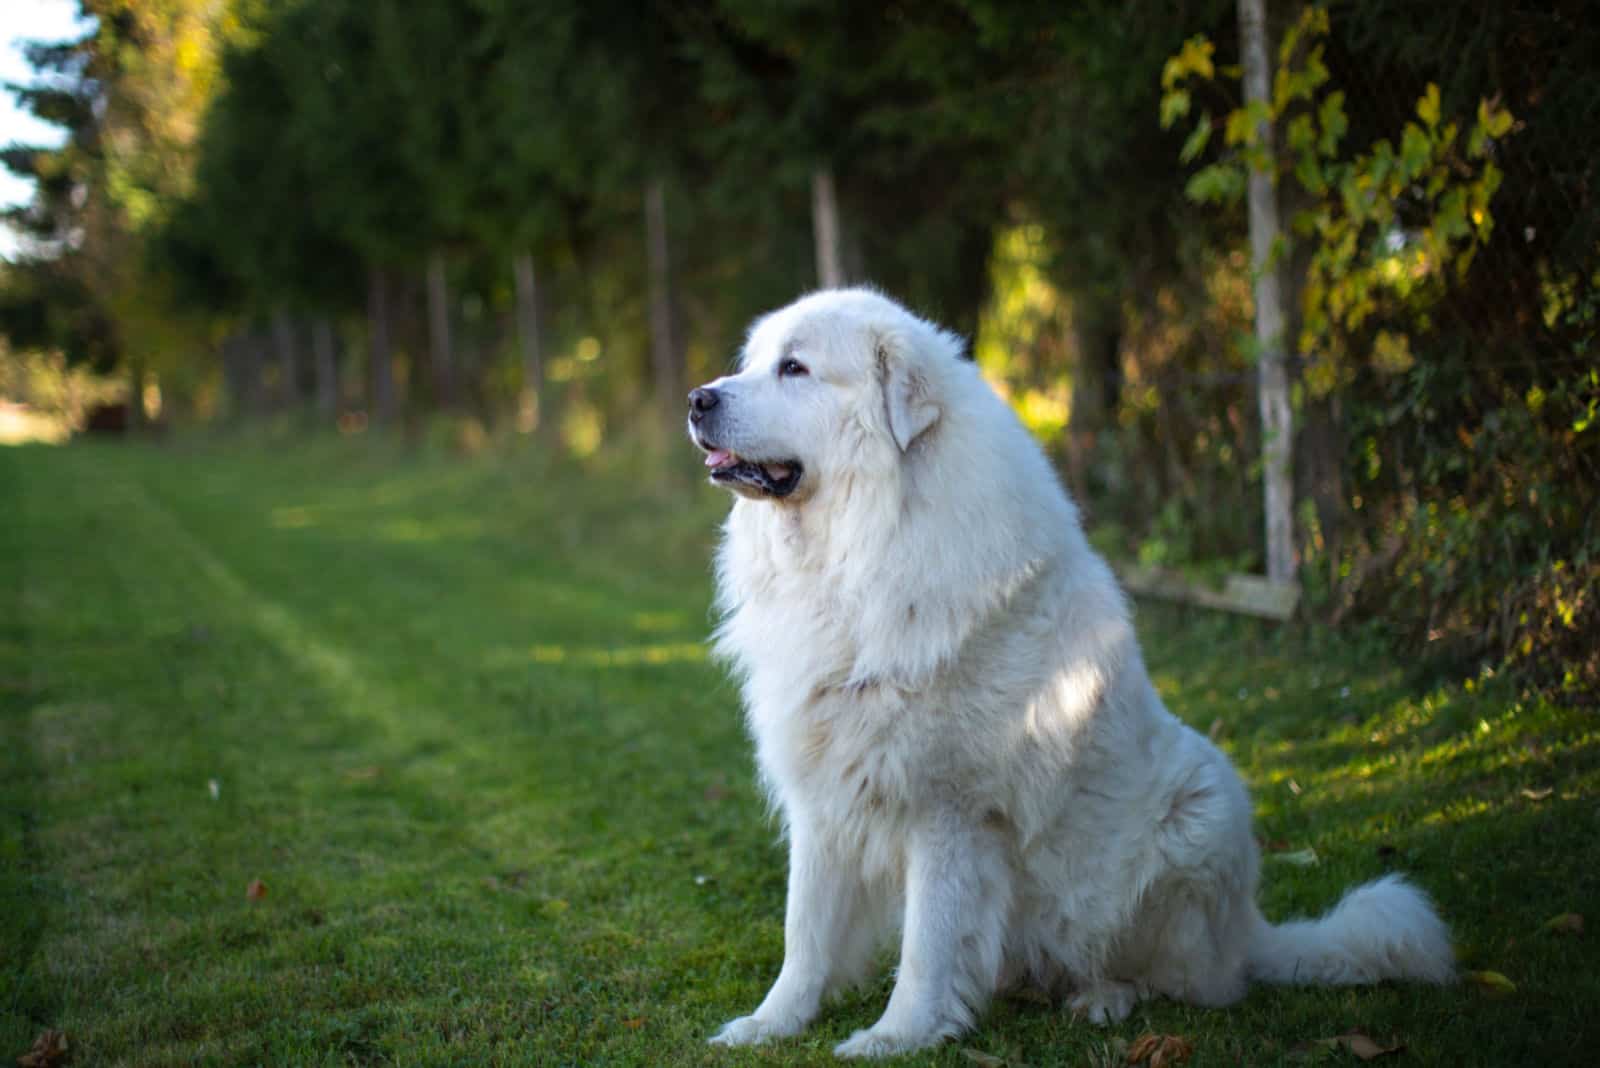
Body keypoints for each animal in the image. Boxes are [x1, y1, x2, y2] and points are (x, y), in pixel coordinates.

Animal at [681, 287, 1459, 1055]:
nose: (697, 399)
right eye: (752, 363)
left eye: (795, 369)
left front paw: (898, 1036)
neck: (865, 547)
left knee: (1189, 985)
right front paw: (771, 1023)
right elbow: (805, 931)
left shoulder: (949, 811)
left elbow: (929, 944)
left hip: (1200, 809)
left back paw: (1105, 1000)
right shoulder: (823, 792)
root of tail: (1248, 932)